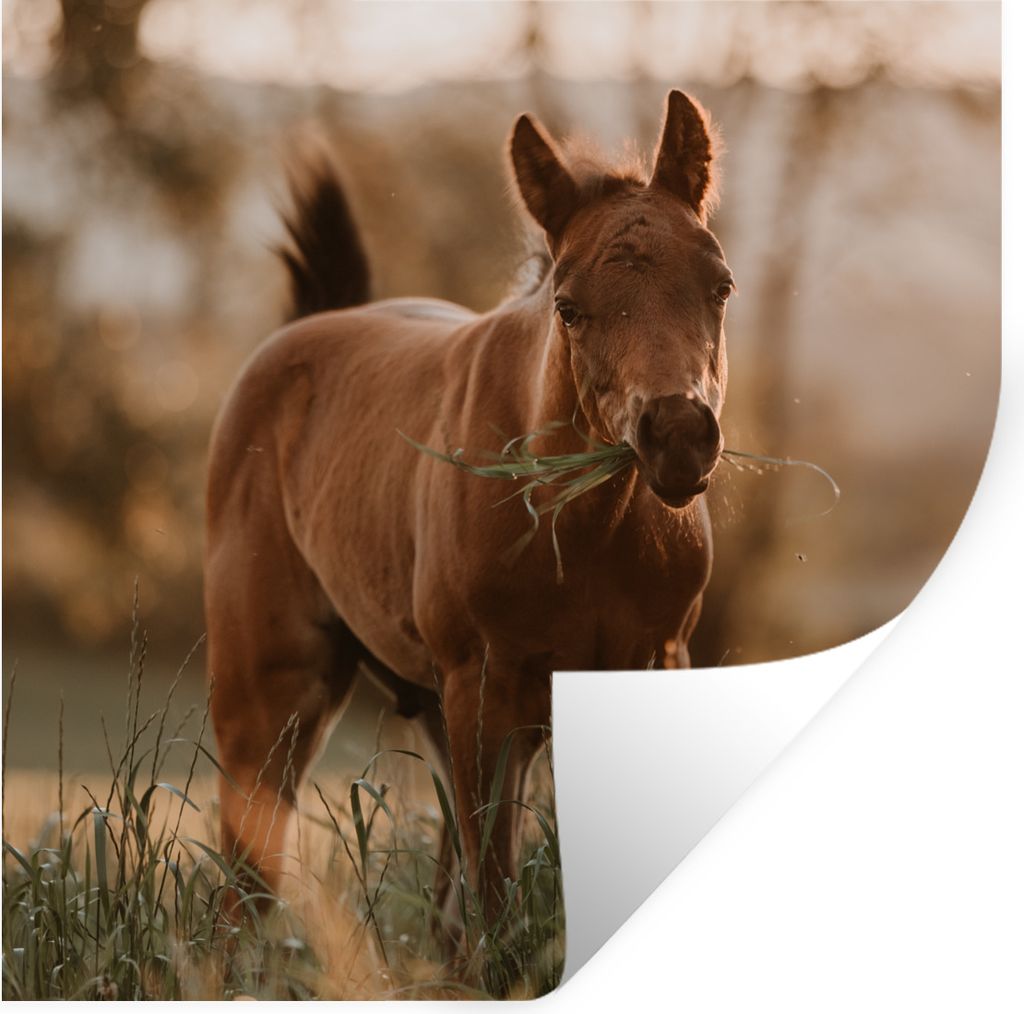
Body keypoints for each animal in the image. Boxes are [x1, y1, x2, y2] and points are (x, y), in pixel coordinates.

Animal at [204, 89, 733, 929]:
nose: (678, 435)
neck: (584, 535)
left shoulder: (649, 664)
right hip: (272, 697)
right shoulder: (488, 689)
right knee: (245, 889)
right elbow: (498, 899)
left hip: (433, 706)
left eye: (720, 286)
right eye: (569, 308)